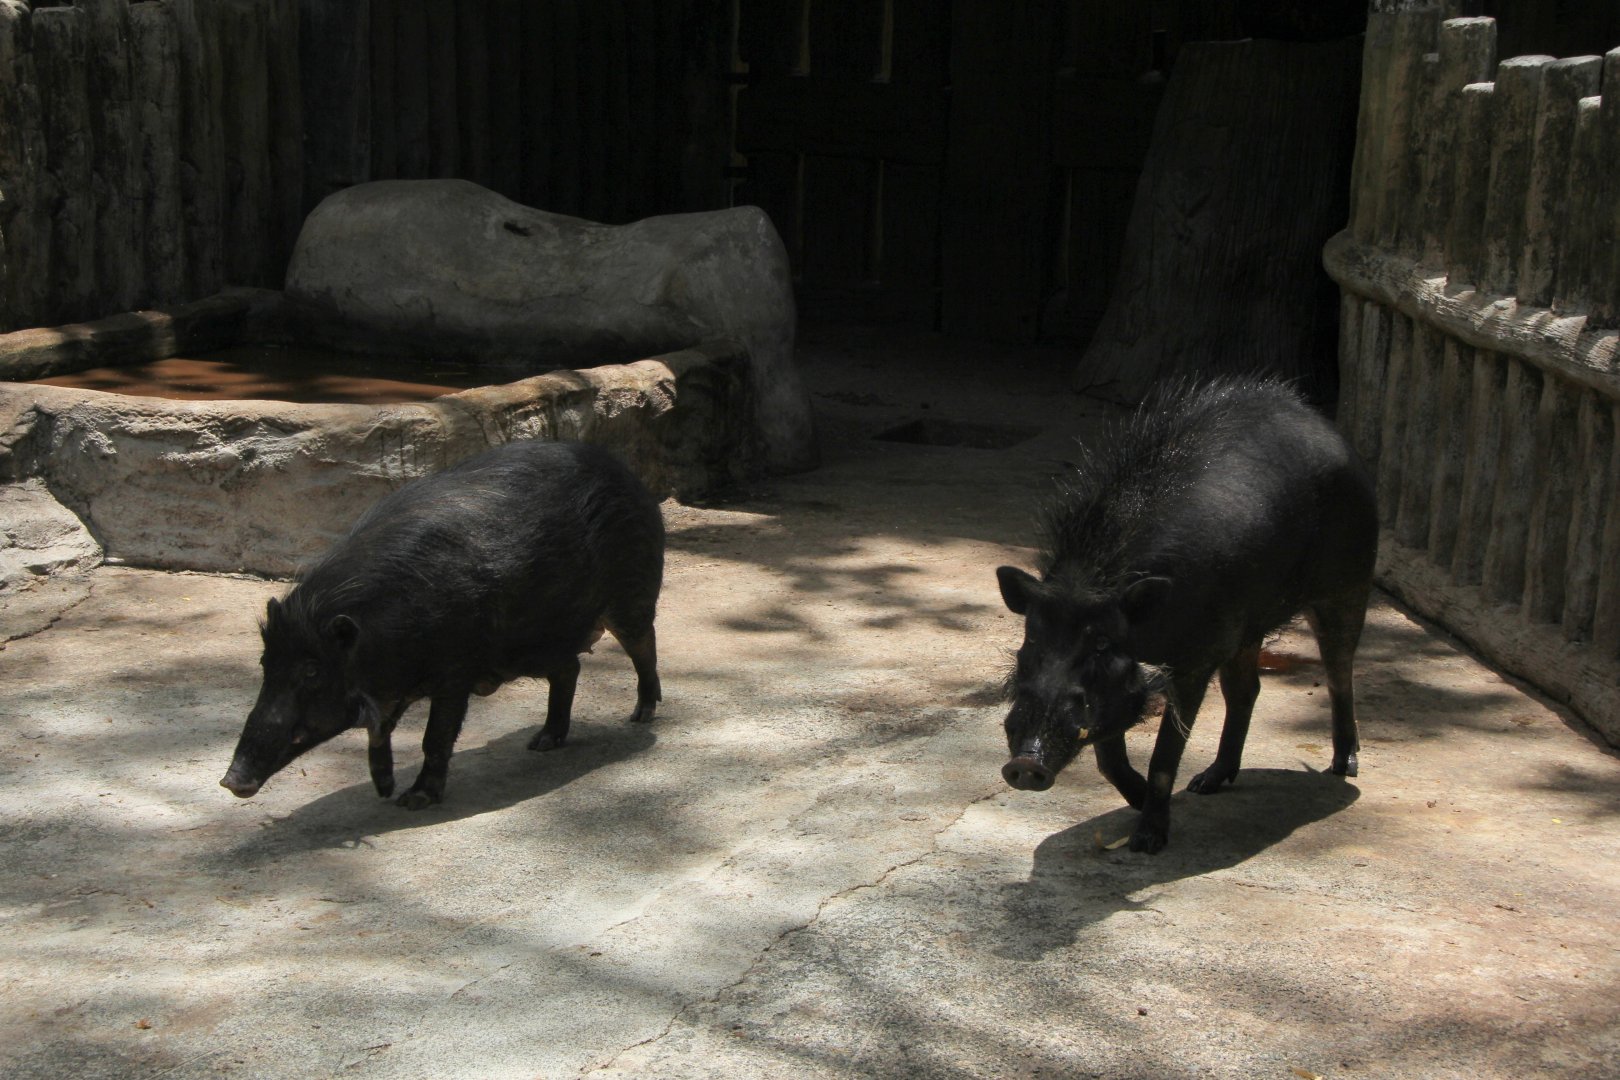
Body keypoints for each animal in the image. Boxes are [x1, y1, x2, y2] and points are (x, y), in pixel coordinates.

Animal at [221, 439, 664, 809]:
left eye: (312, 670)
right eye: (265, 664)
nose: (231, 781)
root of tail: (626, 472)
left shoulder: (456, 671)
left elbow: (435, 736)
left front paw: (413, 801)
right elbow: (379, 733)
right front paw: (384, 791)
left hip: (632, 593)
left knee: (643, 645)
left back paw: (641, 715)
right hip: (535, 644)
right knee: (569, 668)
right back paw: (540, 743)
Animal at [996, 376, 1377, 853]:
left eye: (1100, 642)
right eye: (1032, 637)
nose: (1026, 764)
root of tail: (1329, 429)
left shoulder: (1196, 657)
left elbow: (1163, 754)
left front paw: (1147, 842)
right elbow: (1109, 755)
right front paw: (1140, 805)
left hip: (1348, 584)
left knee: (1340, 671)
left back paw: (1344, 769)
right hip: (1248, 627)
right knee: (1245, 691)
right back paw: (1206, 784)